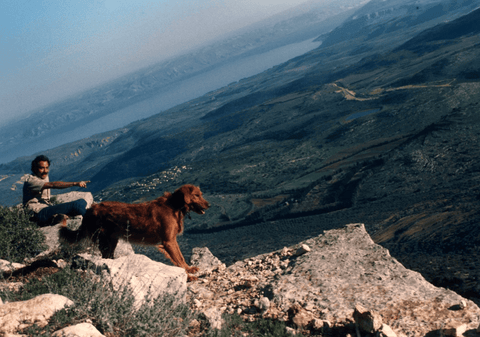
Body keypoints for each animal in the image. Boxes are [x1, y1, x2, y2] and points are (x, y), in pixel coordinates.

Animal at [59, 184, 209, 278]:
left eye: (201, 194)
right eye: (196, 195)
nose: (209, 205)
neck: (174, 206)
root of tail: (90, 209)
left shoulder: (171, 241)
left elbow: (180, 258)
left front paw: (189, 269)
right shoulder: (169, 241)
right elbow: (179, 258)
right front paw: (188, 273)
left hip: (111, 241)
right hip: (103, 241)